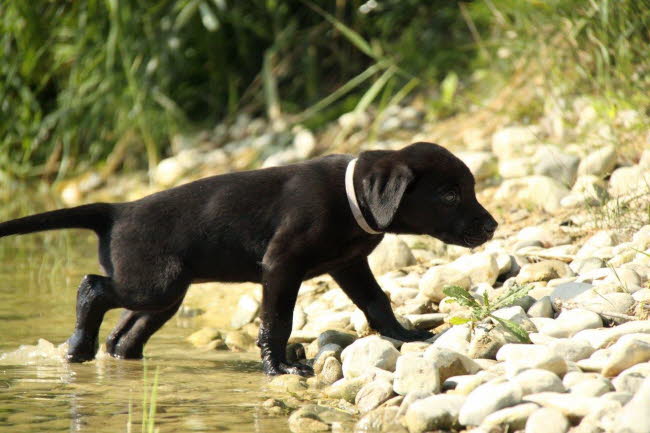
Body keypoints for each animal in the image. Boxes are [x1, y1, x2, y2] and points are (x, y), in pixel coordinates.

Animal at [1, 142, 496, 374]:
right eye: (450, 195)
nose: (492, 226)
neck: (351, 198)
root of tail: (118, 210)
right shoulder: (282, 265)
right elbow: (276, 321)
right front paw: (280, 367)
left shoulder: (349, 265)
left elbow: (377, 302)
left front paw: (404, 336)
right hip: (154, 284)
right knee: (92, 288)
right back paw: (77, 347)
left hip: (165, 296)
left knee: (124, 334)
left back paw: (119, 359)